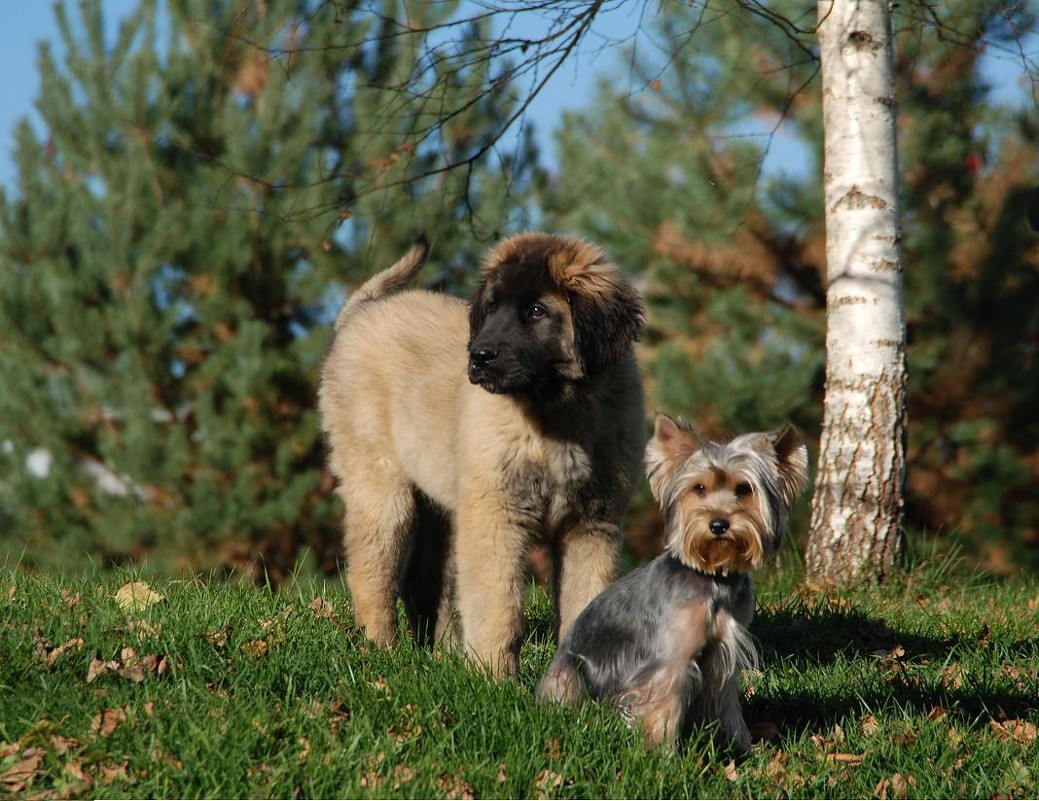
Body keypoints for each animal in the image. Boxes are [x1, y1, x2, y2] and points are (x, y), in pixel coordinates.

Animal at [315, 230, 644, 677]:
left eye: (536, 311)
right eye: (491, 309)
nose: (479, 356)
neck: (556, 417)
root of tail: (360, 312)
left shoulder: (592, 526)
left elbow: (583, 603)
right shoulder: (495, 517)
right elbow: (499, 607)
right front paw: (494, 677)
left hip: (441, 504)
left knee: (424, 581)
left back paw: (438, 654)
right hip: (381, 487)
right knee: (373, 574)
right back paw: (381, 649)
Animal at [540, 413, 806, 752]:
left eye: (743, 489)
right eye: (699, 488)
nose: (718, 524)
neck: (713, 578)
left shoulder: (722, 654)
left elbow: (726, 701)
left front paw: (741, 744)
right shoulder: (671, 657)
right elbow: (664, 705)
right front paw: (662, 754)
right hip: (571, 674)